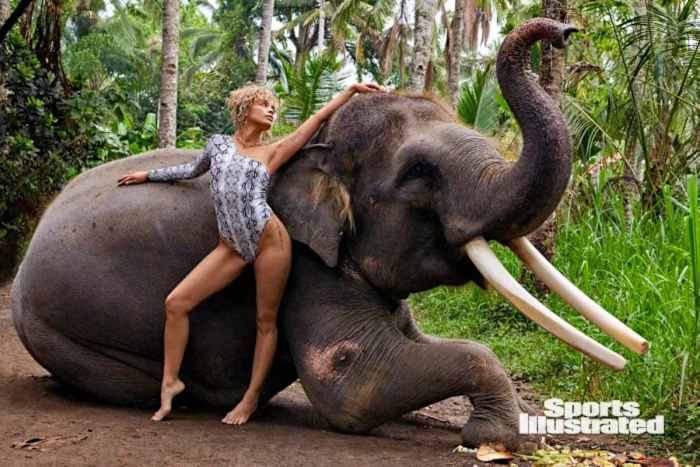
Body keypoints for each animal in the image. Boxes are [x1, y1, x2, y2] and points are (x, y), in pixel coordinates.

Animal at [10, 18, 647, 450]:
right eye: (420, 173)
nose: (564, 30)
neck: (315, 148)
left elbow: (410, 343)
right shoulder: (308, 262)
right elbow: (350, 377)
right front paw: (489, 437)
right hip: (63, 333)